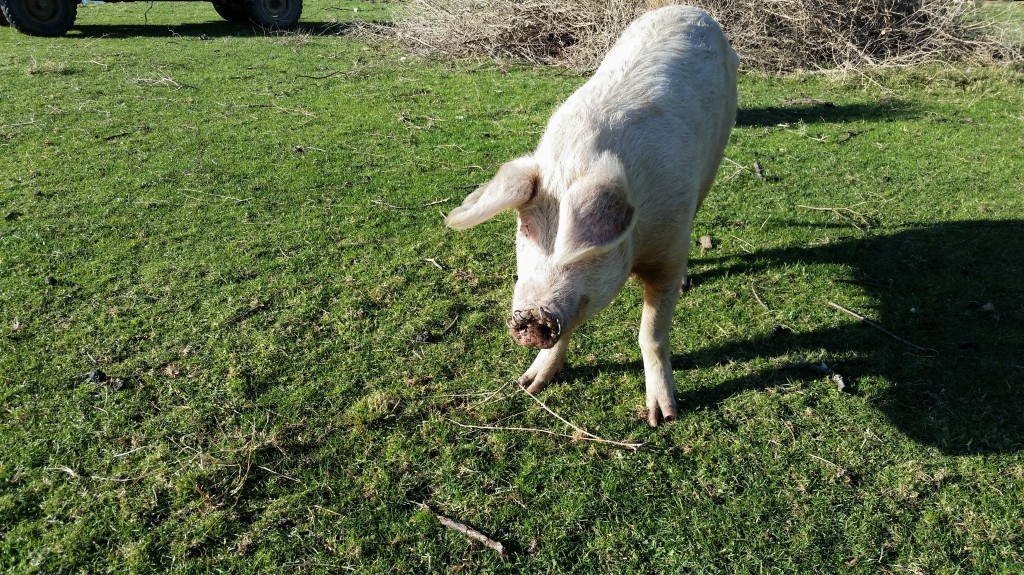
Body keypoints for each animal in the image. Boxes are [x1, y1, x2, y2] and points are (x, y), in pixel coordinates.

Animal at [444, 5, 739, 426]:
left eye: (580, 245)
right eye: (526, 227)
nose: (530, 316)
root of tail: (690, 9)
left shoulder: (668, 246)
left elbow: (652, 334)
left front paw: (663, 417)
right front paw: (528, 385)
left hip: (716, 154)